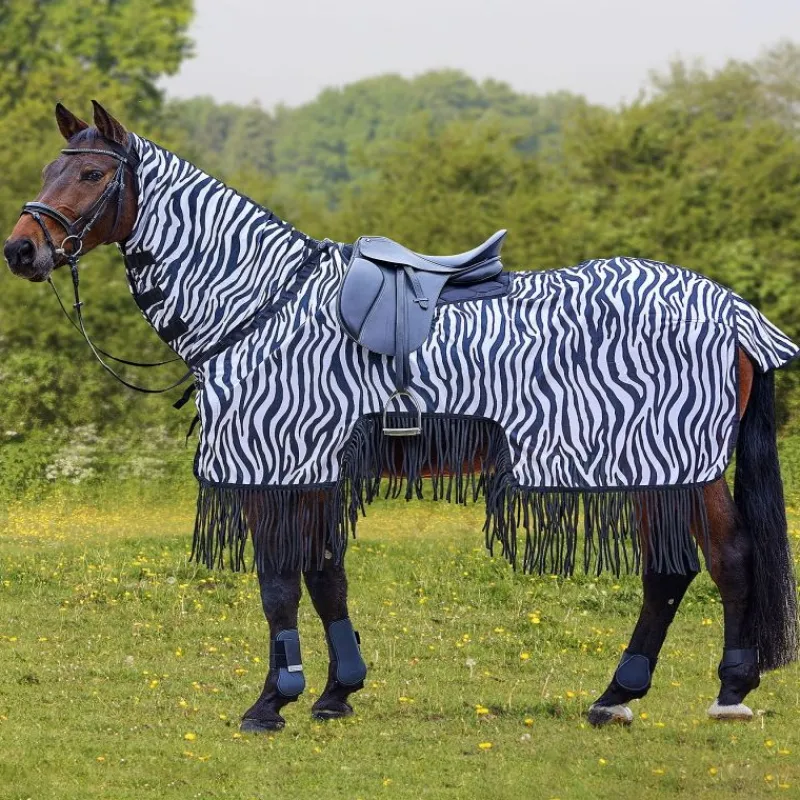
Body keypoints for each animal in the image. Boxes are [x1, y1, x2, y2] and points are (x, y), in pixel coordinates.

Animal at [4, 101, 798, 732]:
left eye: (90, 176)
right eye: (48, 169)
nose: (21, 249)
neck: (260, 304)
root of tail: (733, 310)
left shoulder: (277, 464)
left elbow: (278, 583)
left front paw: (272, 701)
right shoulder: (313, 469)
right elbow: (325, 575)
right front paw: (335, 693)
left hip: (671, 465)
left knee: (708, 563)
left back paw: (702, 692)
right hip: (661, 468)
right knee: (690, 567)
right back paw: (640, 696)